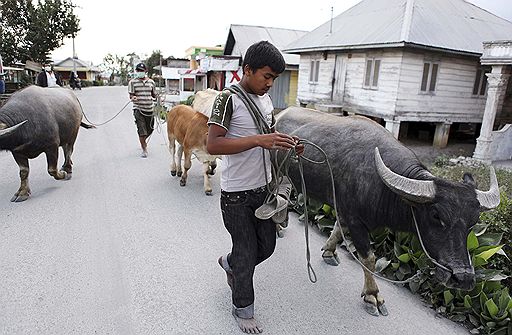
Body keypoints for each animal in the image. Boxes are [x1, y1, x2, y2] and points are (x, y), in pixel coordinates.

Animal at [276, 108, 500, 318]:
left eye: (473, 221)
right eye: (436, 216)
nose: (463, 278)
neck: (381, 185)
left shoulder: (345, 212)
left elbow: (339, 229)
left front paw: (329, 252)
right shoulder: (356, 221)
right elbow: (369, 258)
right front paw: (372, 296)